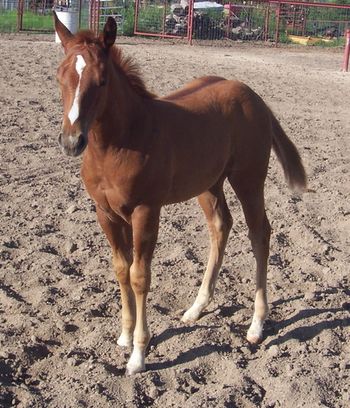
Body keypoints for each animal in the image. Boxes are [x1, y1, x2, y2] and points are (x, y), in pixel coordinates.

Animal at [52, 12, 306, 374]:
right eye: (60, 77)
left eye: (102, 81)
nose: (72, 142)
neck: (122, 141)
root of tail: (254, 97)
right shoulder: (105, 213)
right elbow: (121, 269)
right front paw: (124, 336)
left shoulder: (146, 210)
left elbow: (139, 275)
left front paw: (138, 355)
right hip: (208, 184)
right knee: (221, 227)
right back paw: (196, 308)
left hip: (248, 179)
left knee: (260, 234)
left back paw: (256, 325)